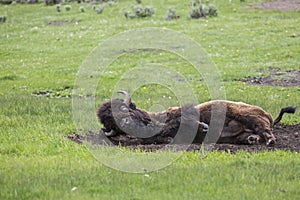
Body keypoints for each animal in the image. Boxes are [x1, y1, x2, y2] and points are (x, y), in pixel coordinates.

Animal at [96, 90, 296, 145]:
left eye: (124, 109)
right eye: (112, 124)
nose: (126, 123)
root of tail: (267, 114)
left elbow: (184, 120)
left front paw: (204, 126)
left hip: (249, 117)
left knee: (265, 130)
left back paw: (269, 140)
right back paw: (253, 140)